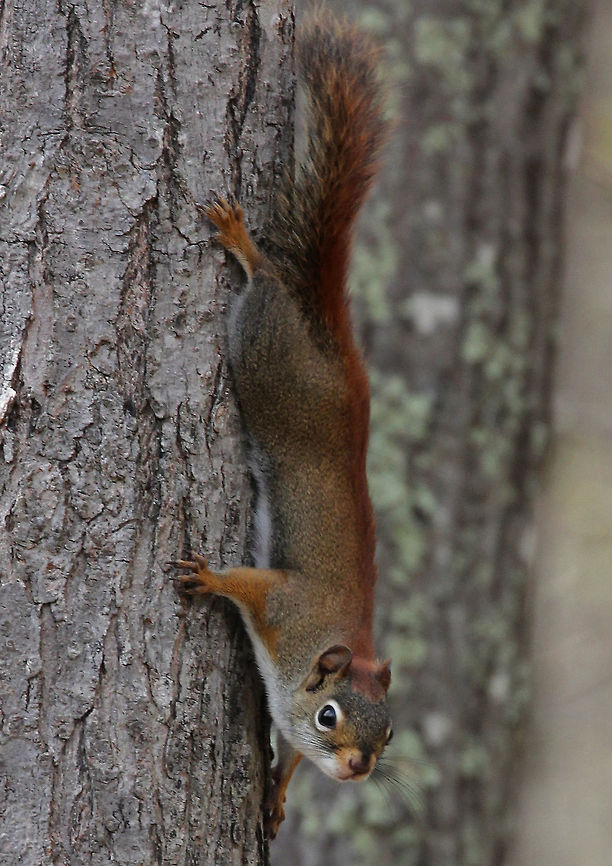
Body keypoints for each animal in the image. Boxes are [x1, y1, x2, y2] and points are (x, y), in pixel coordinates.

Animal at [173, 11, 392, 840]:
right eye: (331, 715)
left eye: (387, 734)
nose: (359, 769)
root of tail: (336, 355)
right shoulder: (285, 609)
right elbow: (250, 584)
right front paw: (207, 576)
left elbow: (289, 760)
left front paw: (277, 793)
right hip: (264, 357)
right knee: (265, 284)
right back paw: (245, 246)